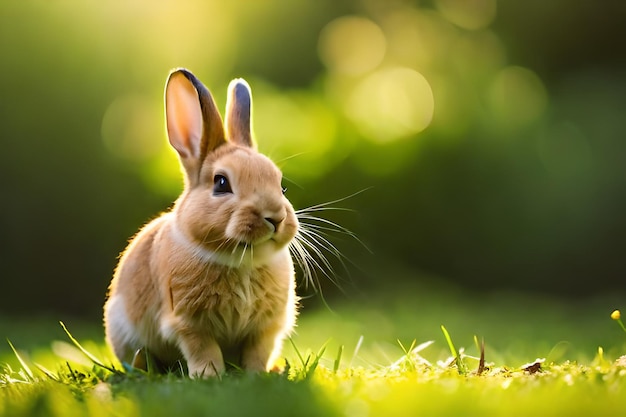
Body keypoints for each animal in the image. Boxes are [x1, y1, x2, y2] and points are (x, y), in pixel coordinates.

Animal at [102, 69, 298, 376]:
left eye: (282, 186)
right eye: (221, 183)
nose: (275, 218)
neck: (242, 260)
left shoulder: (265, 328)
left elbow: (258, 352)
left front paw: (258, 374)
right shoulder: (188, 323)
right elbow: (203, 350)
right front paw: (208, 376)